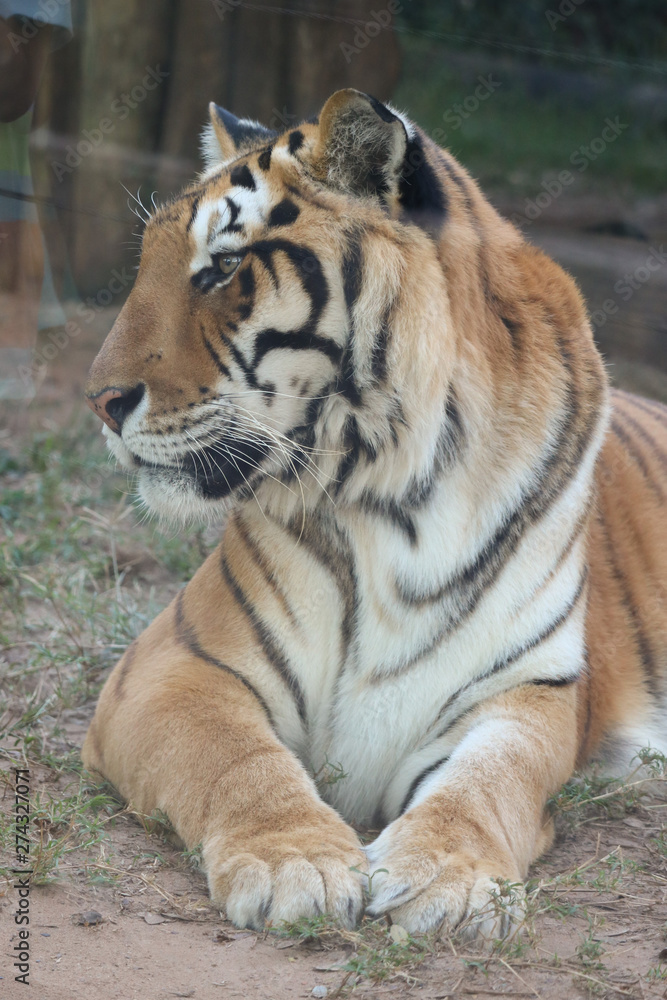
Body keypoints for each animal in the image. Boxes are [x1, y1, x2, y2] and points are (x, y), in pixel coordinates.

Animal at [82, 88, 667, 939]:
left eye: (223, 266)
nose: (99, 400)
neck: (401, 496)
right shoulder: (174, 666)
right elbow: (236, 760)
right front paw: (294, 861)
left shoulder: (527, 690)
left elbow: (486, 784)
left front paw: (449, 881)